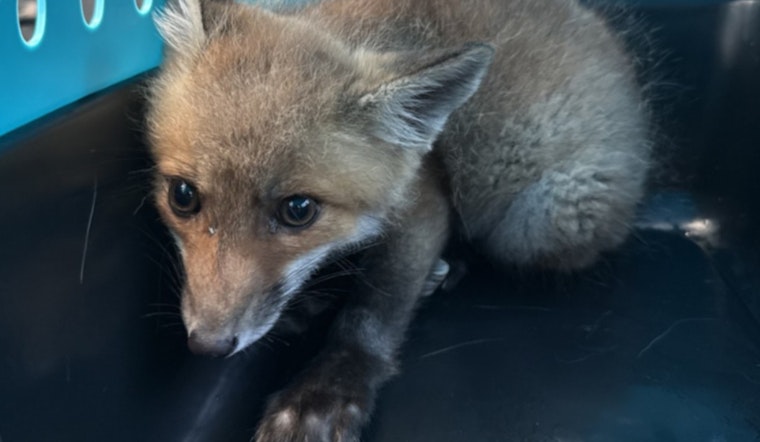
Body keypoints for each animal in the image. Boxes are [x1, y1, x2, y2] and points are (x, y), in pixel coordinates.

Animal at [145, 0, 651, 440]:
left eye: (298, 210)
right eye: (182, 196)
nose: (208, 345)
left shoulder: (424, 199)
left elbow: (374, 310)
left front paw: (327, 392)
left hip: (539, 217)